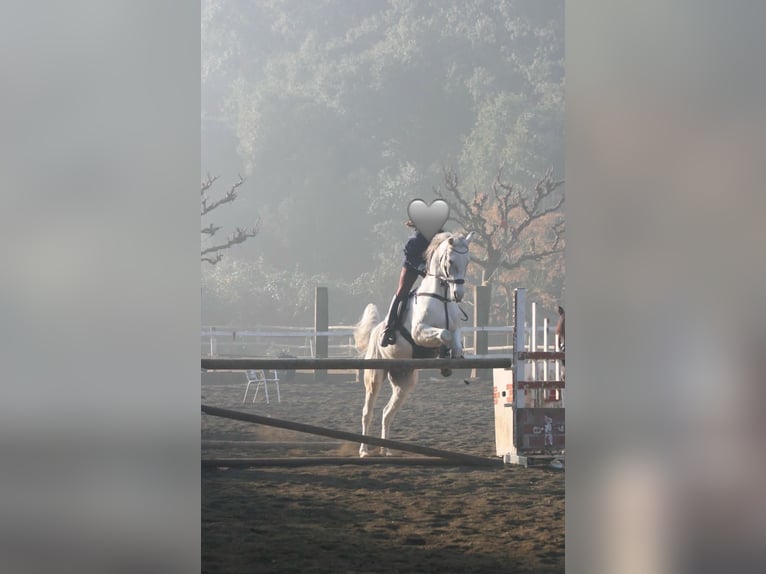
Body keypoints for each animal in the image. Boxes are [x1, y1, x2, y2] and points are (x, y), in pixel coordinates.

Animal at [354, 232, 474, 456]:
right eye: (450, 262)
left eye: (468, 261)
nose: (459, 295)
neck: (441, 298)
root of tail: (374, 332)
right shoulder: (419, 333)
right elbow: (444, 334)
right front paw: (444, 357)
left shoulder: (455, 329)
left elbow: (455, 340)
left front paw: (451, 359)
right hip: (375, 375)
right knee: (368, 411)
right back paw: (365, 450)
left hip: (405, 381)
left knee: (387, 413)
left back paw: (387, 451)